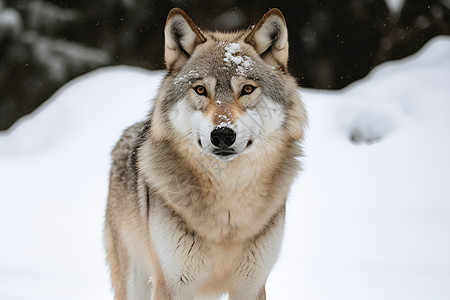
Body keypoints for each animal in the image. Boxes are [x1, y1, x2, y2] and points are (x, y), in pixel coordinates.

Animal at [105, 7, 308, 300]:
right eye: (201, 89)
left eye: (247, 89)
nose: (222, 134)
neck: (228, 206)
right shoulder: (172, 284)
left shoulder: (251, 286)